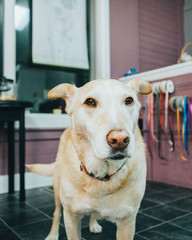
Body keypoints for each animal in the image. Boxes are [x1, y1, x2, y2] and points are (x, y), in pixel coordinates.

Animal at [27, 79, 152, 240]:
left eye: (129, 100)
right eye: (90, 101)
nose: (120, 139)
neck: (102, 174)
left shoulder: (127, 222)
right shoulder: (71, 217)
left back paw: (93, 224)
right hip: (57, 188)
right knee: (56, 213)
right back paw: (53, 234)